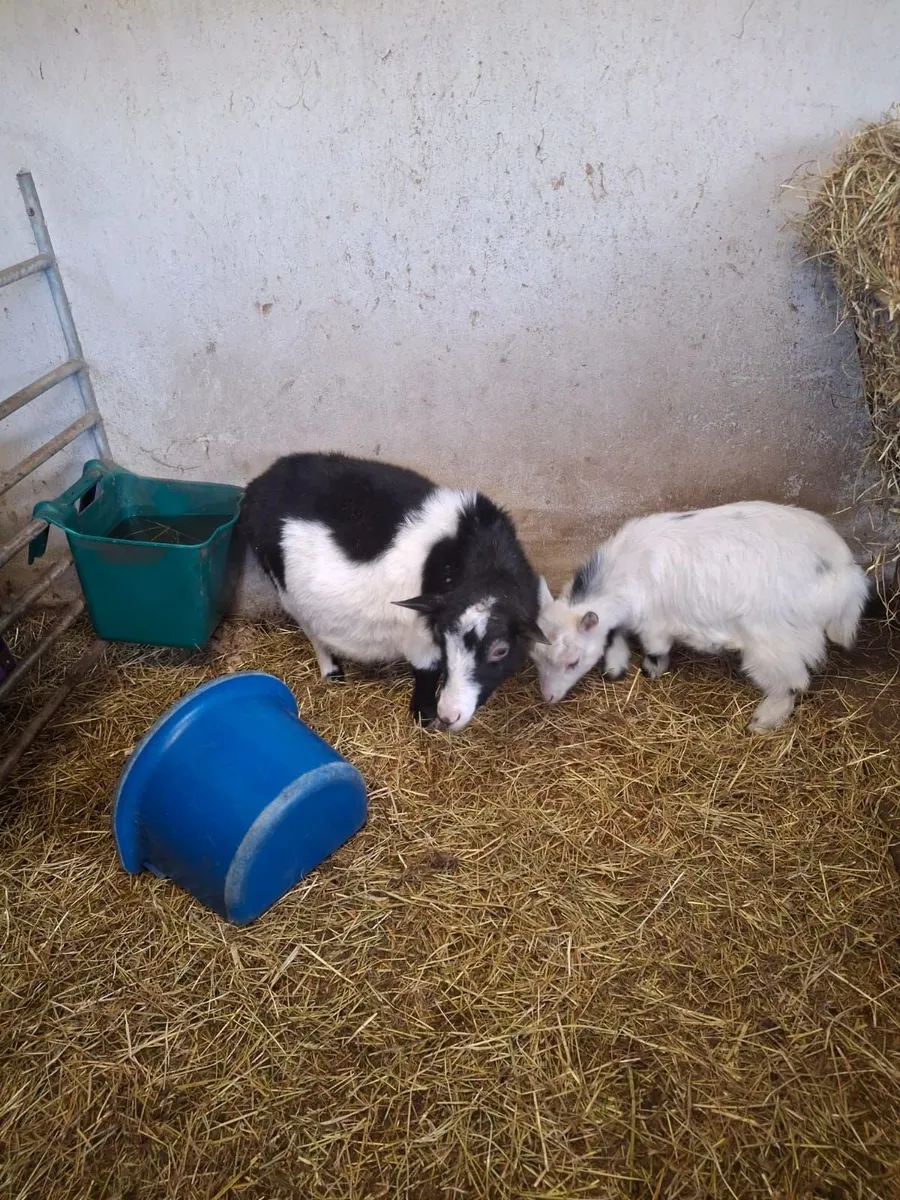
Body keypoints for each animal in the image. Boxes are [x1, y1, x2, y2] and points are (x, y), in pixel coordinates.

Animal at [238, 452, 547, 731]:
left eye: (500, 650)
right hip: (283, 585)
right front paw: (425, 718)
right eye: (443, 639)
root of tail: (259, 484)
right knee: (311, 629)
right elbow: (427, 672)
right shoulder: (421, 634)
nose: (450, 715)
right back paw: (332, 671)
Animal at [530, 501, 870, 731]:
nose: (548, 697)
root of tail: (844, 573)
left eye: (572, 662)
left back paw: (763, 720)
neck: (627, 569)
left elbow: (654, 647)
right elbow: (615, 633)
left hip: (775, 641)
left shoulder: (654, 622)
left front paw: (653, 669)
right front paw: (615, 667)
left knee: (792, 682)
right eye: (535, 659)